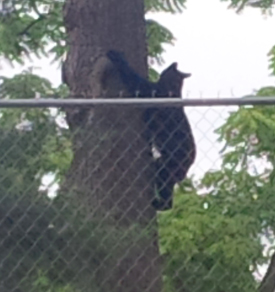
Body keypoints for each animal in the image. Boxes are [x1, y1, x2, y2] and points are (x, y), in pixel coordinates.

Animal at [106, 50, 196, 210]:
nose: (173, 63)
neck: (172, 89)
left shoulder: (145, 89)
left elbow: (131, 75)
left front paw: (115, 56)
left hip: (165, 169)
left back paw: (158, 204)